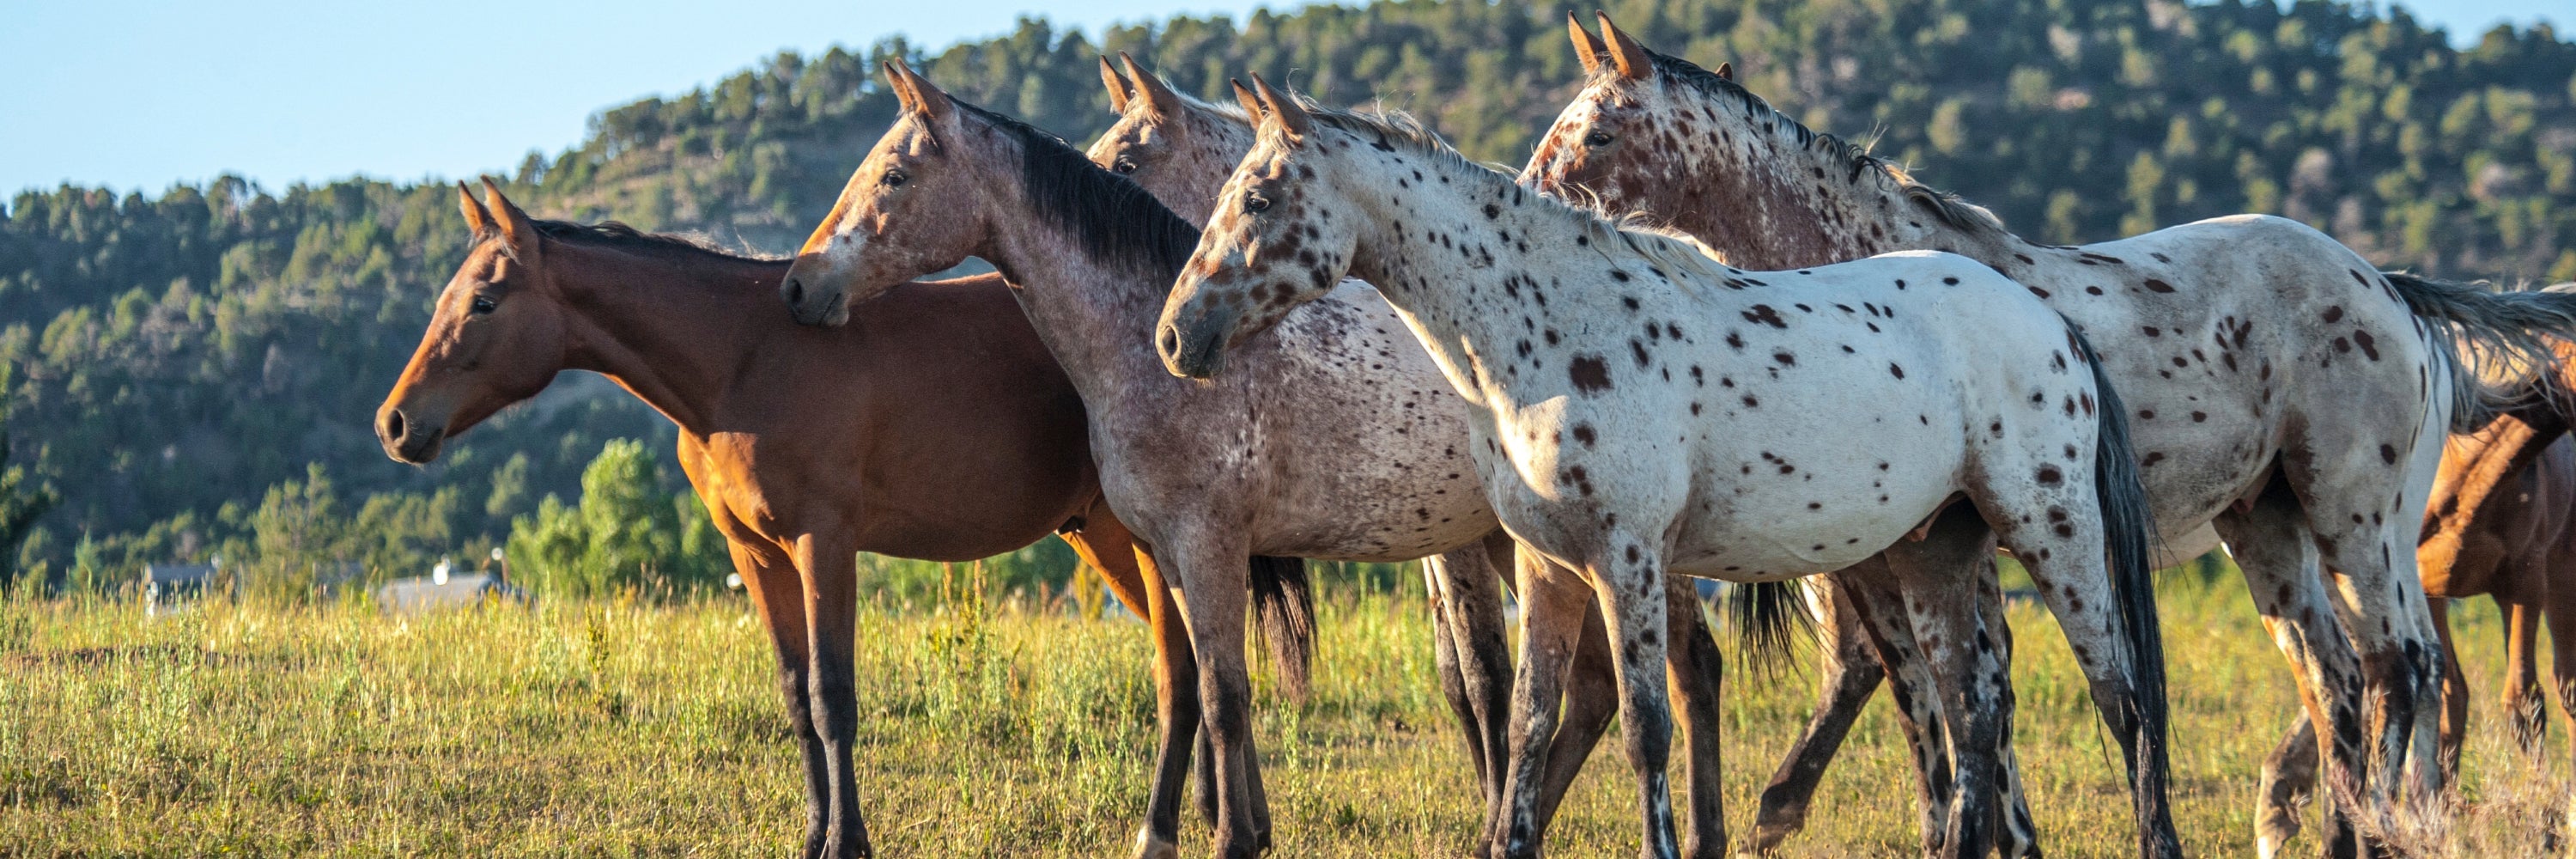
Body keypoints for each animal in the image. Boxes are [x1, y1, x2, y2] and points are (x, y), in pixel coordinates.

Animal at [373, 181, 1309, 859]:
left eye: (485, 301)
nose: (396, 423)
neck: (744, 356)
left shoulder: (824, 542)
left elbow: (833, 695)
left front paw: (847, 840)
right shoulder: (756, 555)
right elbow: (796, 695)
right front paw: (814, 831)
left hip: (1147, 538)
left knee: (1185, 671)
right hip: (1110, 535)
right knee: (1200, 664)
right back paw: (1236, 822)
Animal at [775, 64, 1634, 859]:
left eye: (894, 176)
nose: (800, 284)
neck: (1148, 349)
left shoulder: (1210, 545)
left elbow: (1224, 694)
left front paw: (1229, 839)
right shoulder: (1164, 552)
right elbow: (1184, 687)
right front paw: (1199, 830)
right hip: (1524, 548)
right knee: (1587, 688)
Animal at [1086, 54, 1734, 852]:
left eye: (1126, 161)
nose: (1175, 333)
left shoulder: (1463, 540)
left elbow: (1485, 675)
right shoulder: (1450, 540)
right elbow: (1462, 679)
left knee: (1692, 665)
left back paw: (1707, 832)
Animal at [1160, 80, 2177, 859]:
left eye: (1258, 200)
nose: (1177, 335)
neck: (1550, 329)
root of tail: (2052, 323)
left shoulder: (1630, 559)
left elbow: (1647, 727)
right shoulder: (1549, 567)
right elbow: (1529, 723)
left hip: (2051, 536)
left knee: (2121, 704)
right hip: (1935, 553)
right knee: (1973, 718)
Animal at [1524, 16, 2576, 856]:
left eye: (1601, 131)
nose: (1531, 202)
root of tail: (2390, 288)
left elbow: (1966, 704)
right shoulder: (1906, 563)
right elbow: (1951, 705)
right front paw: (1987, 834)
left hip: (2357, 520)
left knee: (2405, 667)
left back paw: (2384, 826)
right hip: (2265, 526)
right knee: (2338, 681)